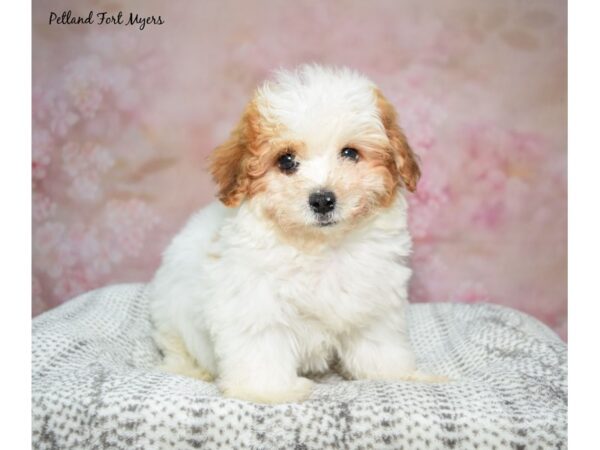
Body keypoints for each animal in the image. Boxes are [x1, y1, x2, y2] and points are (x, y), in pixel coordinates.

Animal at [150, 64, 440, 404]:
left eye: (350, 153)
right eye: (286, 160)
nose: (323, 199)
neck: (321, 247)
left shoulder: (373, 299)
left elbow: (379, 345)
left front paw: (397, 374)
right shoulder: (254, 303)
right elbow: (261, 347)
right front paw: (268, 391)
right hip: (170, 314)